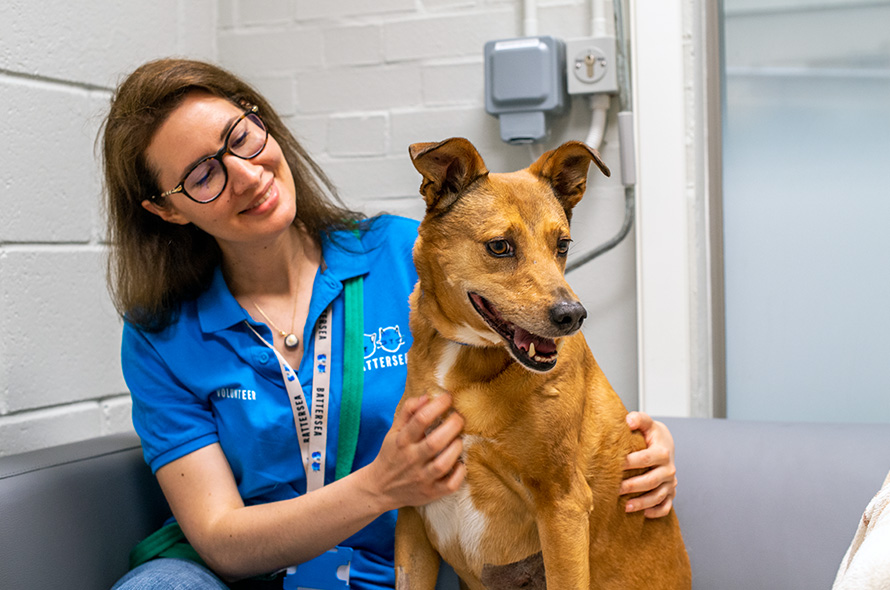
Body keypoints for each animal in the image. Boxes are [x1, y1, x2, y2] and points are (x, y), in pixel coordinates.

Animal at [396, 136, 692, 588]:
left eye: (563, 245)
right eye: (500, 246)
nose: (573, 315)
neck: (466, 360)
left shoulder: (561, 504)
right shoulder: (413, 508)